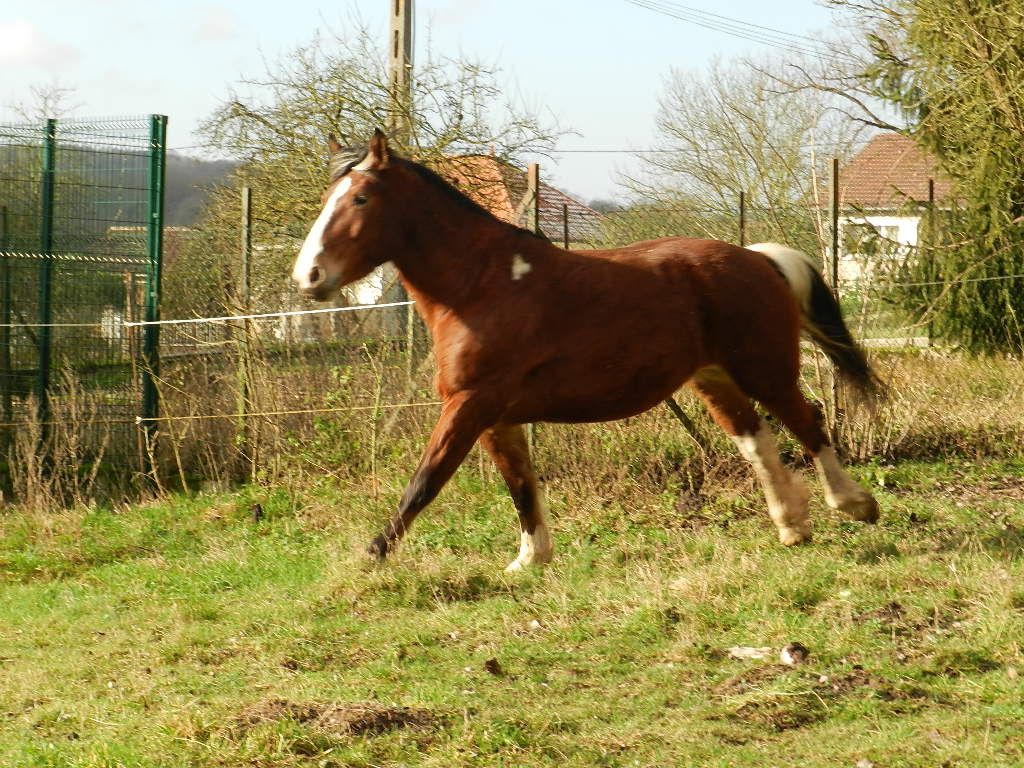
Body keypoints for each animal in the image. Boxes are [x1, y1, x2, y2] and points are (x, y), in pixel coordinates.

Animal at [292, 129, 881, 571]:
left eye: (360, 199)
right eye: (324, 201)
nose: (308, 276)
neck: (481, 287)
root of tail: (757, 259)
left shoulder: (470, 404)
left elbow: (424, 483)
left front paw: (372, 556)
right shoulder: (496, 417)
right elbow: (519, 485)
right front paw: (531, 559)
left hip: (764, 369)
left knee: (809, 422)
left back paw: (854, 505)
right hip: (714, 378)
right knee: (756, 439)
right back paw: (792, 525)